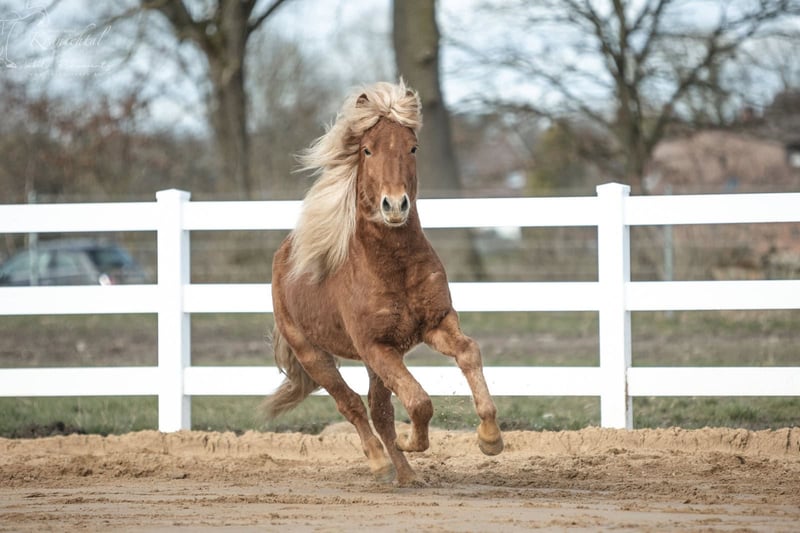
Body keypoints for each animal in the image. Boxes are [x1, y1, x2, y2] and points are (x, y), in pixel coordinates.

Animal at [264, 80, 503, 485]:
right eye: (367, 149)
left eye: (412, 147)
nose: (394, 205)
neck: (395, 267)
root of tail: (284, 255)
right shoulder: (376, 345)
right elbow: (419, 401)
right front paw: (413, 442)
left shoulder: (435, 324)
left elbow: (468, 353)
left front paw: (490, 439)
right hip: (313, 353)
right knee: (351, 405)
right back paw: (379, 462)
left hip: (372, 362)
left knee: (379, 411)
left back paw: (406, 476)